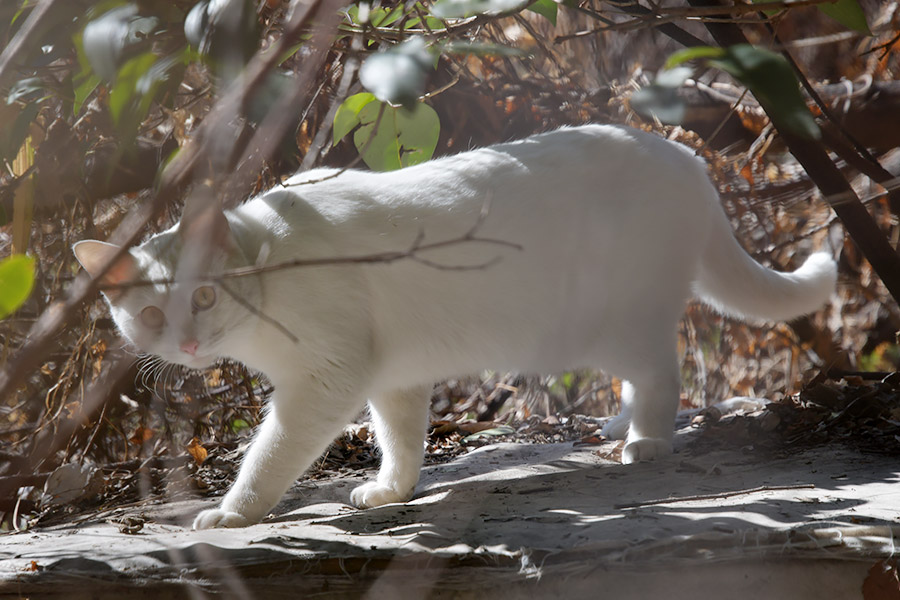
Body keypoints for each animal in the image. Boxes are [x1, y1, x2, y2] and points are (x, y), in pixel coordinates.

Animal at [72, 124, 836, 528]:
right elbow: (401, 442)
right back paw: (620, 427)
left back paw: (645, 441)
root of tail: (687, 159)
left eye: (203, 297)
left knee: (662, 373)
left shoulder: (325, 382)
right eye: (151, 313)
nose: (188, 340)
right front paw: (392, 491)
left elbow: (267, 458)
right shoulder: (392, 379)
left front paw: (234, 513)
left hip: (607, 325)